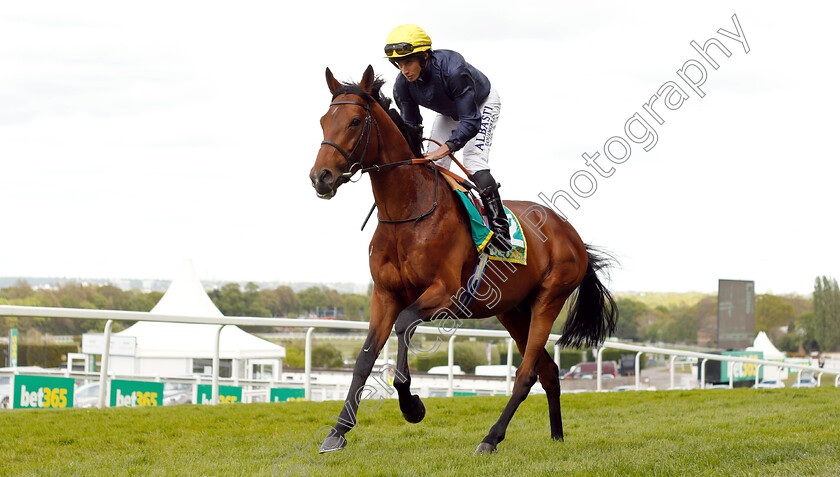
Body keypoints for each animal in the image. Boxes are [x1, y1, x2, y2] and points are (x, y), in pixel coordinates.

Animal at [308, 64, 616, 454]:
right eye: (322, 121)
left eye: (354, 121)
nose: (321, 177)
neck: (409, 212)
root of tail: (571, 233)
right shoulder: (384, 294)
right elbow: (364, 358)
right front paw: (338, 431)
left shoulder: (447, 294)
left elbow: (404, 325)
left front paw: (412, 406)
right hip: (512, 310)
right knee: (548, 371)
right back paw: (556, 437)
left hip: (549, 299)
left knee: (526, 373)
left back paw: (491, 438)